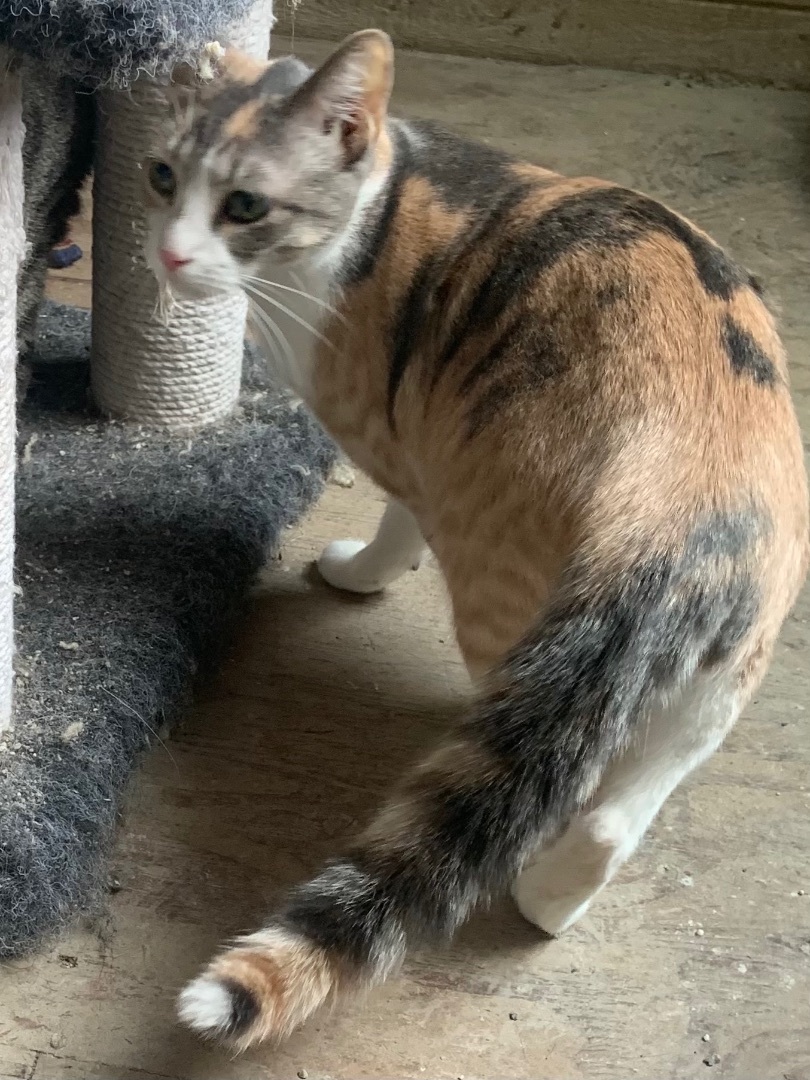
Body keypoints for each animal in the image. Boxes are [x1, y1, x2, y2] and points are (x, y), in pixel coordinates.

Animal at [142, 31, 807, 1045]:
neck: (368, 216)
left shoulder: (406, 449)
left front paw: (358, 570)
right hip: (732, 667)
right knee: (625, 800)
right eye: (160, 175)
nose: (170, 256)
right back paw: (554, 902)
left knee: (566, 779)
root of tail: (682, 503)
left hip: (508, 607)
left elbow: (394, 522)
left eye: (245, 205)